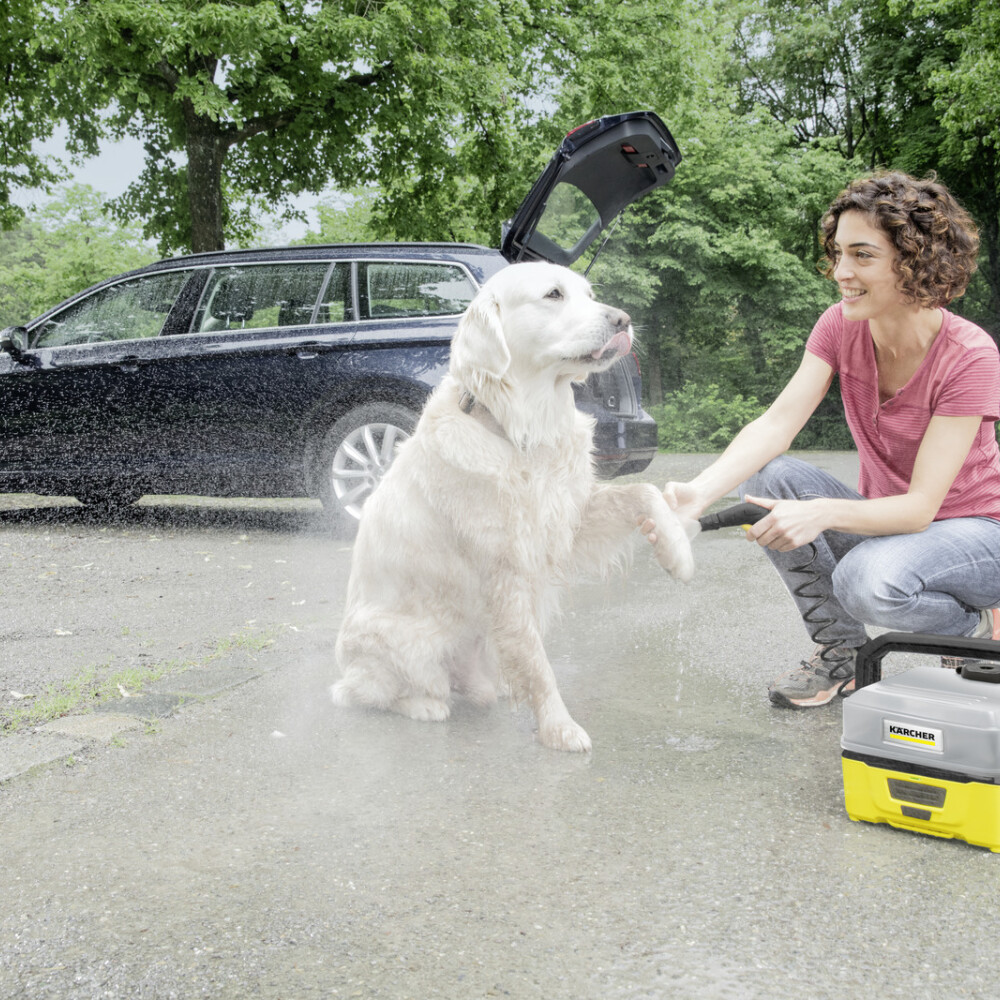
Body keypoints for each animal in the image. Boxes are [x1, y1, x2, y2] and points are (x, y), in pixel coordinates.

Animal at [332, 262, 692, 748]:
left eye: (589, 294)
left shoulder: (567, 518)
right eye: (554, 295)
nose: (623, 320)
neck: (520, 429)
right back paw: (424, 705)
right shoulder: (507, 570)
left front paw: (678, 553)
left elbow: (645, 493)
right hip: (407, 642)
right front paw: (559, 727)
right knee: (364, 692)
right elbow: (538, 664)